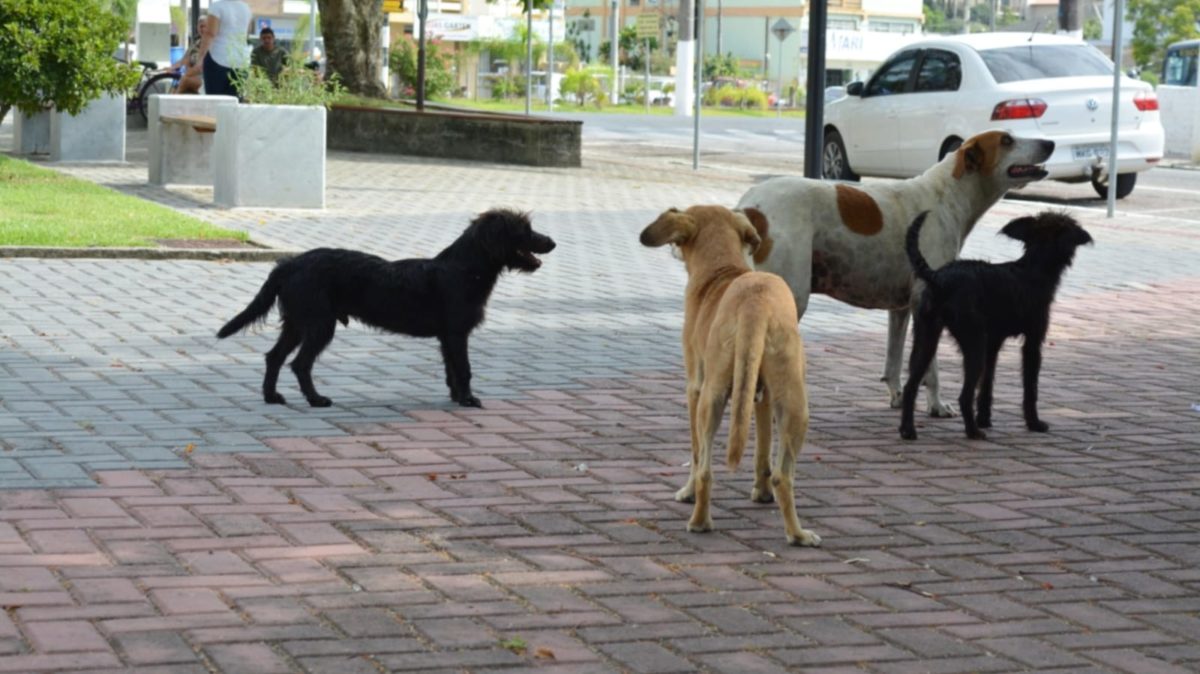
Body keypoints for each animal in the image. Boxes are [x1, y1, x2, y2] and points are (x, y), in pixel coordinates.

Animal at [218, 207, 554, 407]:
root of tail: (289, 265)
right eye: (524, 230)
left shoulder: (447, 337)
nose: (552, 242)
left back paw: (271, 396)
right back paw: (316, 399)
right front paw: (470, 400)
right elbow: (465, 369)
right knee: (300, 363)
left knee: (274, 357)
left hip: (297, 323)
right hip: (319, 325)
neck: (464, 269)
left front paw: (457, 398)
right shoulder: (458, 334)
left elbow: (452, 371)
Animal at [643, 205, 820, 546]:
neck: (722, 270)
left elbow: (695, 450)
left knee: (705, 467)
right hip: (791, 403)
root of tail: (756, 302)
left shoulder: (694, 388)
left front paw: (686, 492)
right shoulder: (760, 396)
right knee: (779, 475)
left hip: (711, 397)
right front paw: (760, 492)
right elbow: (762, 450)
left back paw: (703, 521)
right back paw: (793, 533)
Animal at [734, 130, 1056, 414]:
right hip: (792, 294)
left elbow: (894, 359)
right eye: (1006, 140)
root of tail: (750, 208)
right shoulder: (931, 302)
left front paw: (899, 396)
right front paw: (937, 405)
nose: (1050, 143)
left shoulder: (902, 307)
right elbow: (931, 369)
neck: (948, 194)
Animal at [902, 209, 1089, 441]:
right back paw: (973, 431)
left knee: (910, 387)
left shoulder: (993, 344)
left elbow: (987, 384)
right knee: (964, 396)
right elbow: (1031, 387)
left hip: (926, 339)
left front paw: (984, 418)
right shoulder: (1032, 343)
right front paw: (1034, 423)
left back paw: (908, 430)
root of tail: (938, 277)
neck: (1033, 267)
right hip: (974, 344)